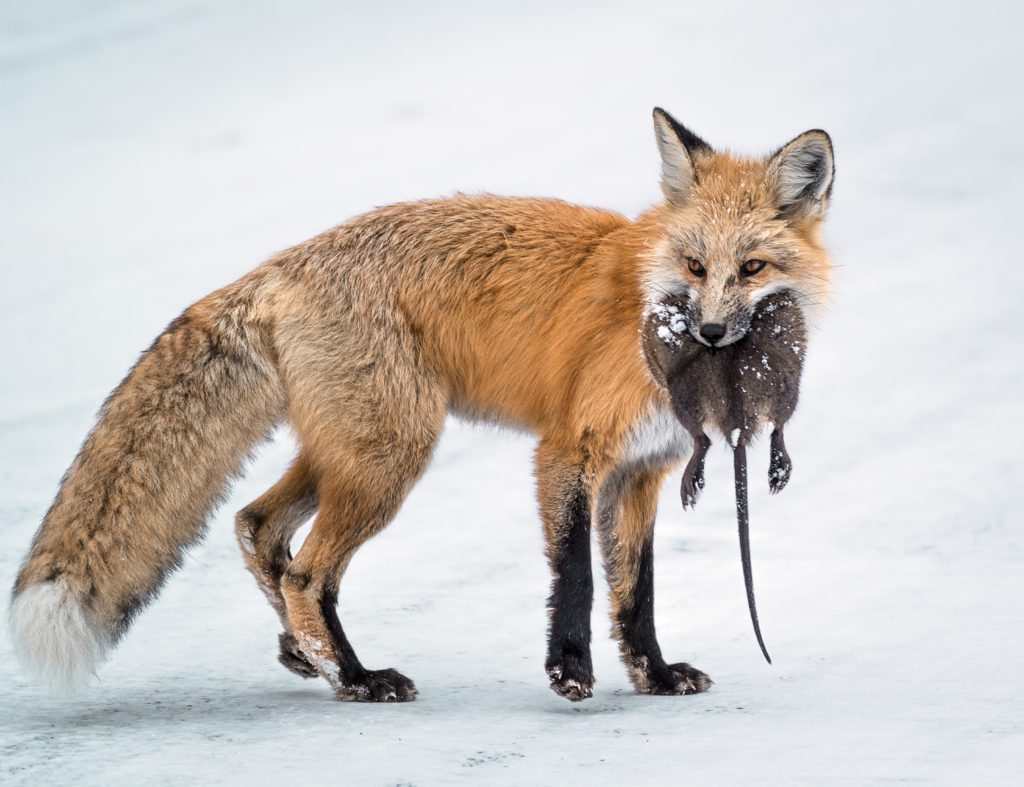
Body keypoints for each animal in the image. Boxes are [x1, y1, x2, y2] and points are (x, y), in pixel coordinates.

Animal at [8, 107, 835, 704]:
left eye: (751, 267)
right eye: (694, 265)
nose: (711, 330)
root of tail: (280, 264)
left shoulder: (641, 471)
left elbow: (637, 591)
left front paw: (654, 676)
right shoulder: (569, 450)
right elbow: (577, 574)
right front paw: (569, 669)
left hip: (353, 453)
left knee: (257, 527)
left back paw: (308, 655)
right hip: (390, 458)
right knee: (306, 572)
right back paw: (357, 678)